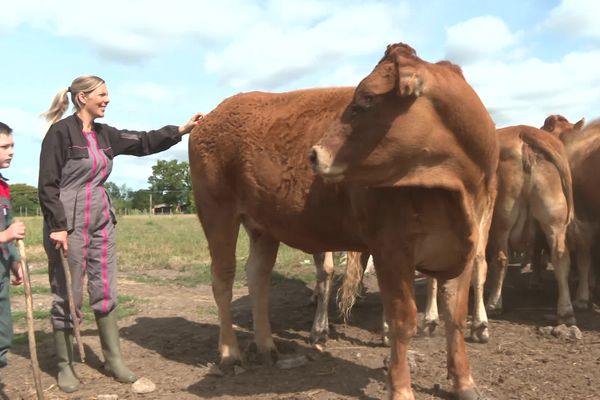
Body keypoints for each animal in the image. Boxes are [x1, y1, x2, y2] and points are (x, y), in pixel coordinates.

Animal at [189, 43, 496, 400]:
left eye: (367, 99)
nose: (314, 154)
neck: (457, 190)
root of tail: (212, 115)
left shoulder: (462, 248)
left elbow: (455, 317)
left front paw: (464, 382)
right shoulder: (391, 249)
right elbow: (403, 321)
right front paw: (400, 387)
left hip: (263, 225)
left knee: (258, 277)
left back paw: (266, 346)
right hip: (217, 213)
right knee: (223, 280)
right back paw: (229, 352)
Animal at [482, 125, 576, 324]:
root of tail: (523, 132)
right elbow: (536, 253)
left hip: (502, 219)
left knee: (501, 259)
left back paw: (494, 304)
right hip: (554, 219)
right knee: (560, 256)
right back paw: (565, 311)